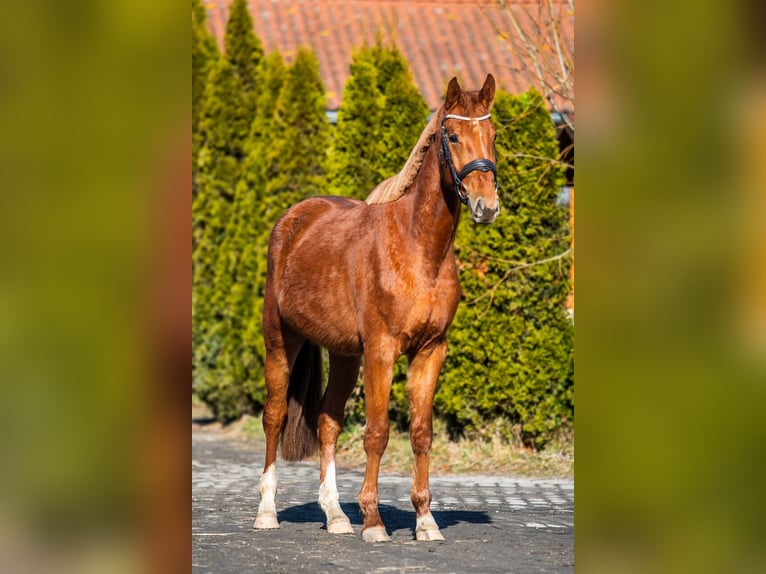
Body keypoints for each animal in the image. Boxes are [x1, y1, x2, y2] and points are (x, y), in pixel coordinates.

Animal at [255, 75, 500, 544]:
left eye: (494, 135)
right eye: (452, 136)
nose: (486, 206)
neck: (418, 250)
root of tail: (293, 220)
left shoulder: (430, 351)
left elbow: (421, 434)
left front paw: (425, 520)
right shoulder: (382, 352)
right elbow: (378, 432)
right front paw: (373, 521)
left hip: (344, 355)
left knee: (327, 422)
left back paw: (335, 515)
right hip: (281, 342)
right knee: (274, 417)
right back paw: (266, 511)